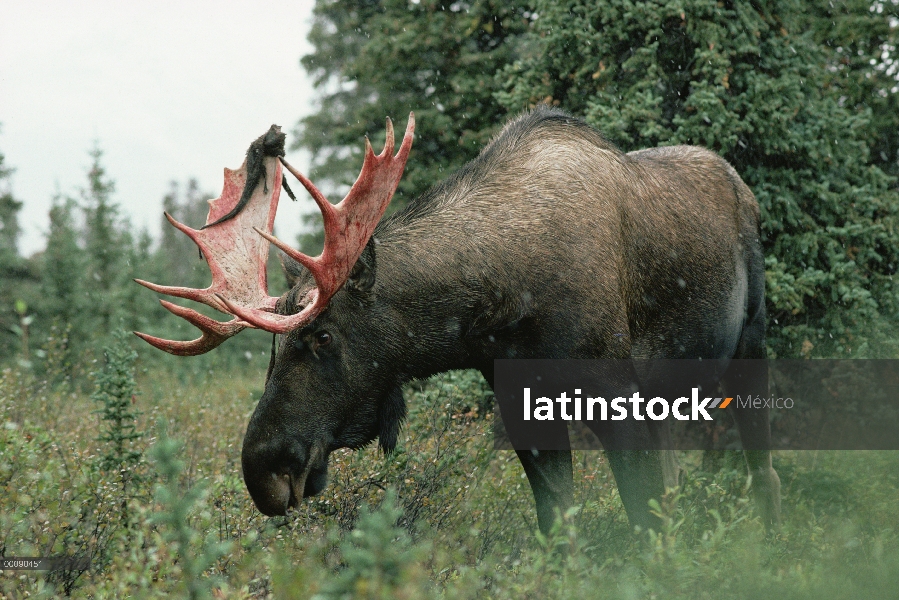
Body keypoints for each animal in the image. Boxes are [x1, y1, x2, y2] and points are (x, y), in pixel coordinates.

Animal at [134, 108, 780, 536]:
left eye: (321, 335)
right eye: (270, 351)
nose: (263, 468)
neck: (501, 307)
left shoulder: (617, 394)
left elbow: (643, 521)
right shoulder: (522, 404)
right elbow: (558, 522)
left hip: (750, 342)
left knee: (761, 468)